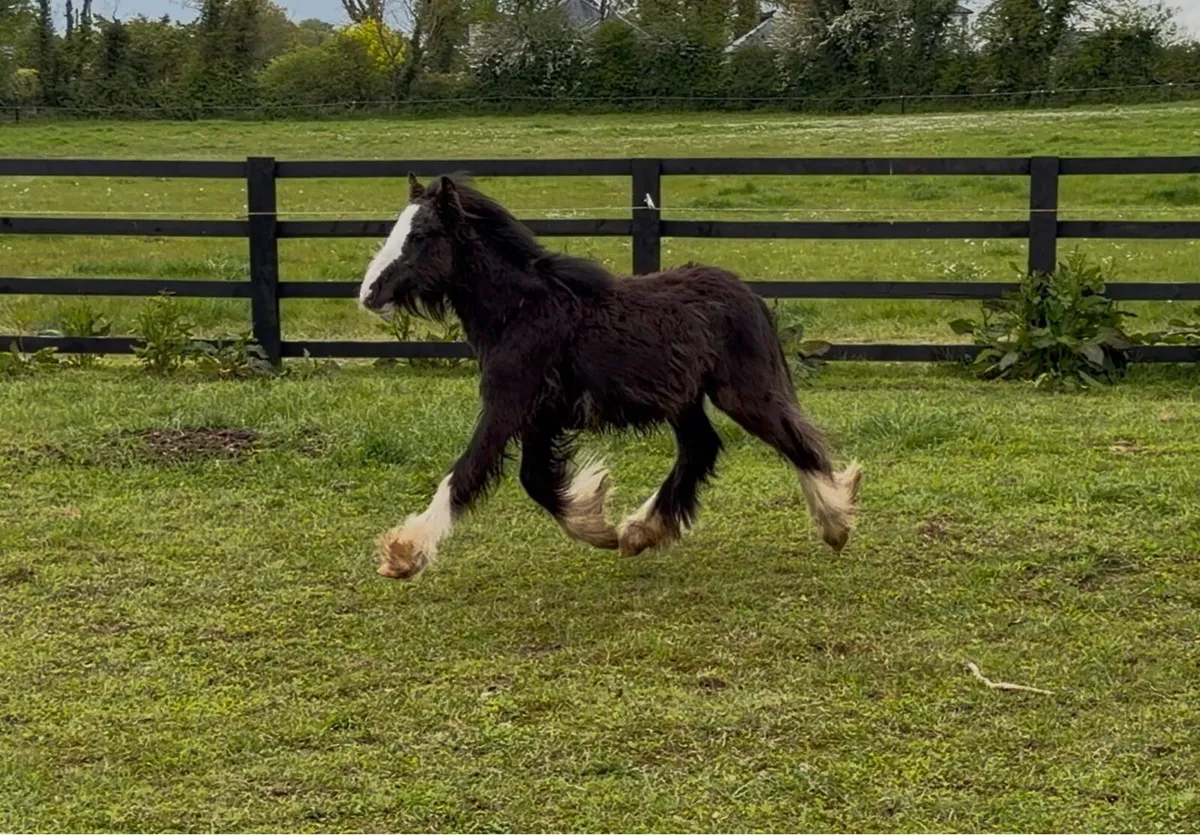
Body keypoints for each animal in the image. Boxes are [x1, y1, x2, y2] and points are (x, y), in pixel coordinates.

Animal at [358, 173, 862, 579]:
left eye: (422, 234)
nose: (368, 293)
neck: (523, 311)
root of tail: (748, 294)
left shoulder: (509, 404)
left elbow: (467, 472)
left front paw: (403, 554)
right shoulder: (542, 414)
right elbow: (534, 480)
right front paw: (599, 524)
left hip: (743, 392)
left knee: (795, 441)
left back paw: (836, 521)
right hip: (685, 401)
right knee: (700, 448)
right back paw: (640, 531)